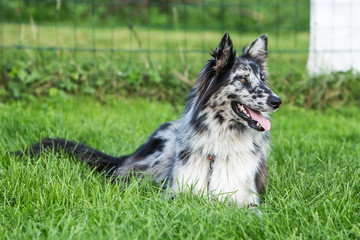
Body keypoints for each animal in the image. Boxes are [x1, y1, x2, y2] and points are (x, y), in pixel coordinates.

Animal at [19, 32, 282, 207]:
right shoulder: (176, 191)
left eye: (262, 80)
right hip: (152, 163)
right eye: (242, 79)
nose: (277, 101)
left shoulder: (246, 198)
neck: (221, 142)